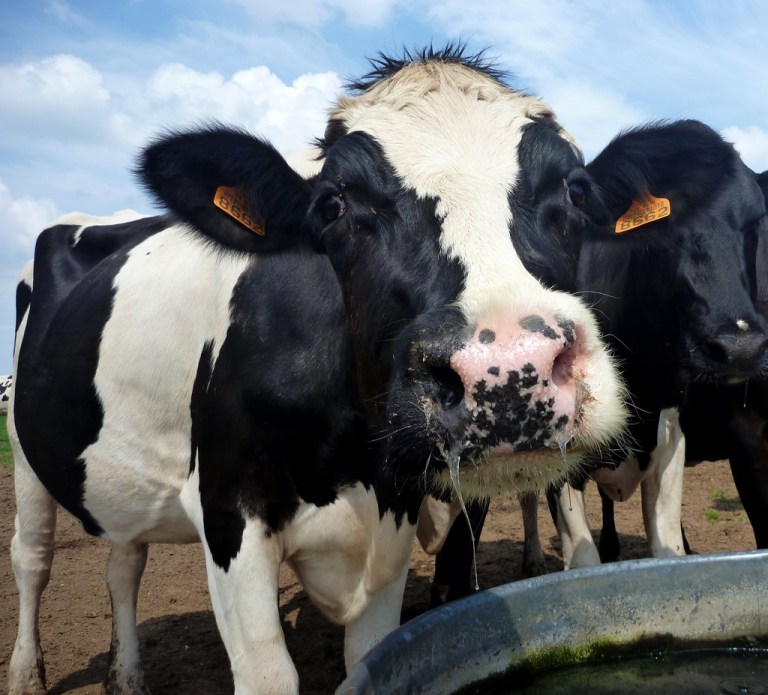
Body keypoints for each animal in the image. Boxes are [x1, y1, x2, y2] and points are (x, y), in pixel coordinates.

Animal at [7, 46, 627, 695]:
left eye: (577, 191)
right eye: (333, 204)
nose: (508, 369)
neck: (353, 459)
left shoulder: (394, 512)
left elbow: (373, 655)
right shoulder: (228, 508)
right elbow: (268, 675)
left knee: (124, 560)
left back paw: (126, 676)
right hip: (24, 446)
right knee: (32, 557)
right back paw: (26, 673)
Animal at [428, 120, 768, 600]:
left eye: (753, 222)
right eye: (665, 230)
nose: (739, 348)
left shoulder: (673, 439)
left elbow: (668, 553)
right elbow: (582, 561)